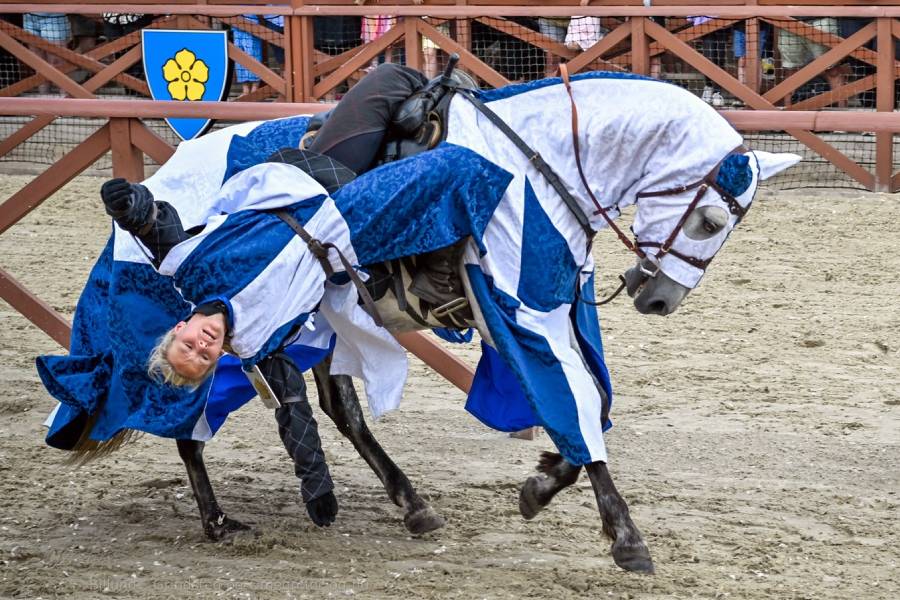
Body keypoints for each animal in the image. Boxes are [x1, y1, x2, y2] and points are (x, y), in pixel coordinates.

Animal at [38, 69, 800, 572]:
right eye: (709, 220)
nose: (658, 299)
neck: (532, 160)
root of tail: (175, 169)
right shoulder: (519, 308)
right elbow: (573, 401)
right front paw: (625, 537)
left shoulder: (549, 307)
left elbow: (590, 401)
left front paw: (542, 484)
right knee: (187, 402)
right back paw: (222, 517)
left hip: (321, 320)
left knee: (329, 406)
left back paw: (400, 502)